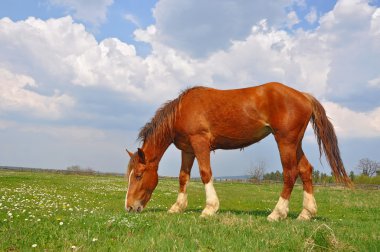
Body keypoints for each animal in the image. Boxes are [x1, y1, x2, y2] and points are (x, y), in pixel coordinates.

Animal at [126, 82, 352, 220]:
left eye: (138, 175)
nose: (128, 207)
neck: (182, 110)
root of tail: (303, 96)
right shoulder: (188, 150)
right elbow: (183, 177)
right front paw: (177, 207)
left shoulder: (200, 143)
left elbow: (205, 173)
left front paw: (210, 208)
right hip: (295, 143)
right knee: (305, 170)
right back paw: (306, 213)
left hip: (286, 142)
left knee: (290, 173)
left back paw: (277, 213)